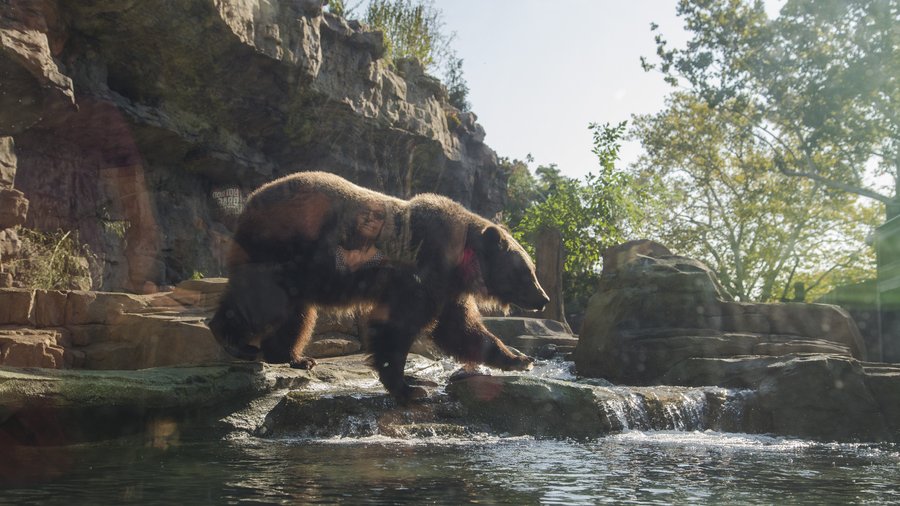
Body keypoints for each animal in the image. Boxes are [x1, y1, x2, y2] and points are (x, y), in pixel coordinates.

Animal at [209, 172, 548, 402]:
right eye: (527, 271)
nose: (543, 298)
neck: (460, 258)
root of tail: (249, 202)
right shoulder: (420, 269)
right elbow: (398, 325)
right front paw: (410, 387)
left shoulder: (446, 288)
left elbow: (459, 329)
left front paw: (519, 358)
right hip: (282, 247)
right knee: (263, 300)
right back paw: (235, 341)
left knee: (297, 312)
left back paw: (295, 357)